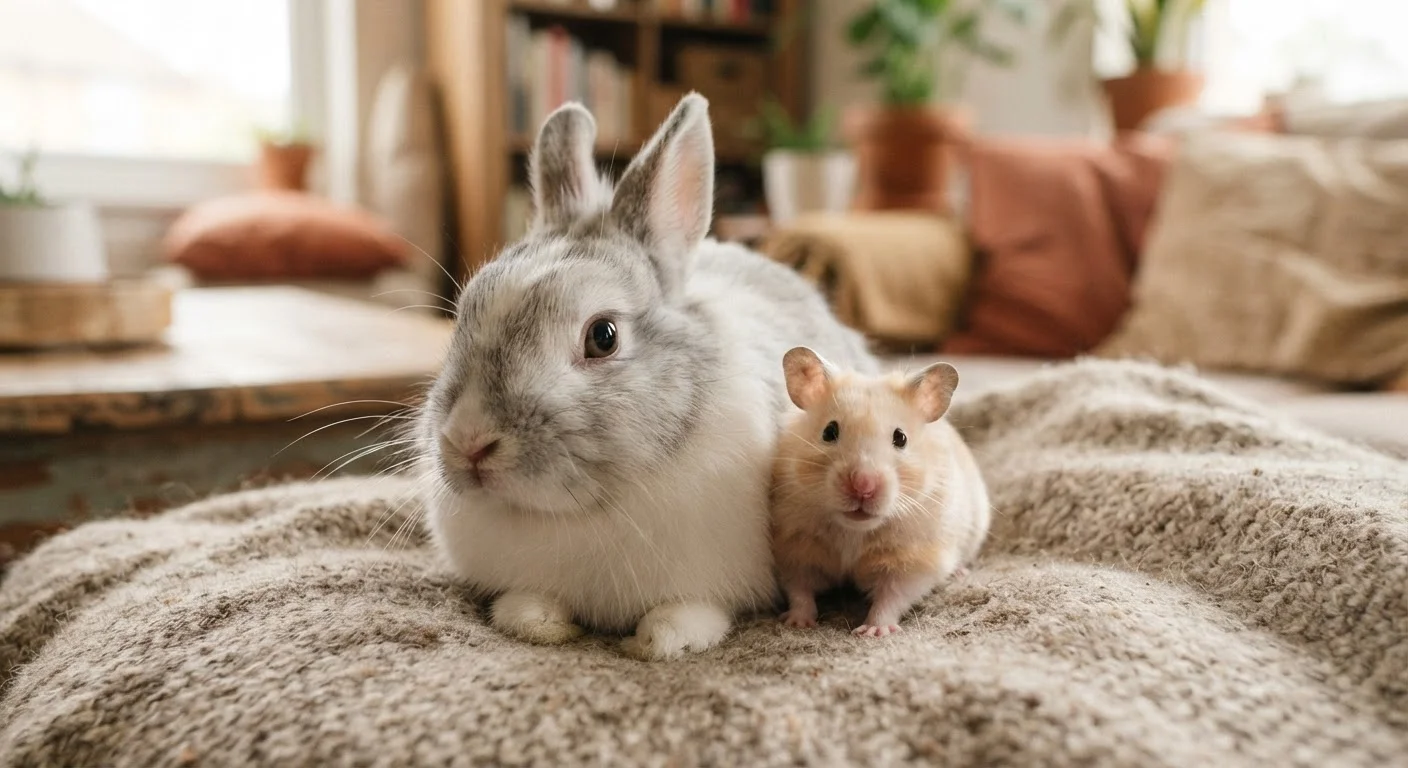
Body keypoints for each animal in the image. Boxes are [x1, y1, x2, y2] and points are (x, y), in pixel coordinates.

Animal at [415, 93, 877, 660]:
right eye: (464, 314)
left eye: (603, 336)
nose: (469, 443)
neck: (585, 508)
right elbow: (528, 605)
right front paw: (539, 622)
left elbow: (690, 614)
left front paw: (658, 640)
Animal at [769, 347, 990, 637]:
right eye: (829, 431)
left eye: (901, 438)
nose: (863, 486)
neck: (853, 530)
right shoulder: (794, 547)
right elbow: (800, 589)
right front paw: (797, 624)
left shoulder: (914, 560)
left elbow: (891, 597)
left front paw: (874, 631)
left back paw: (959, 573)